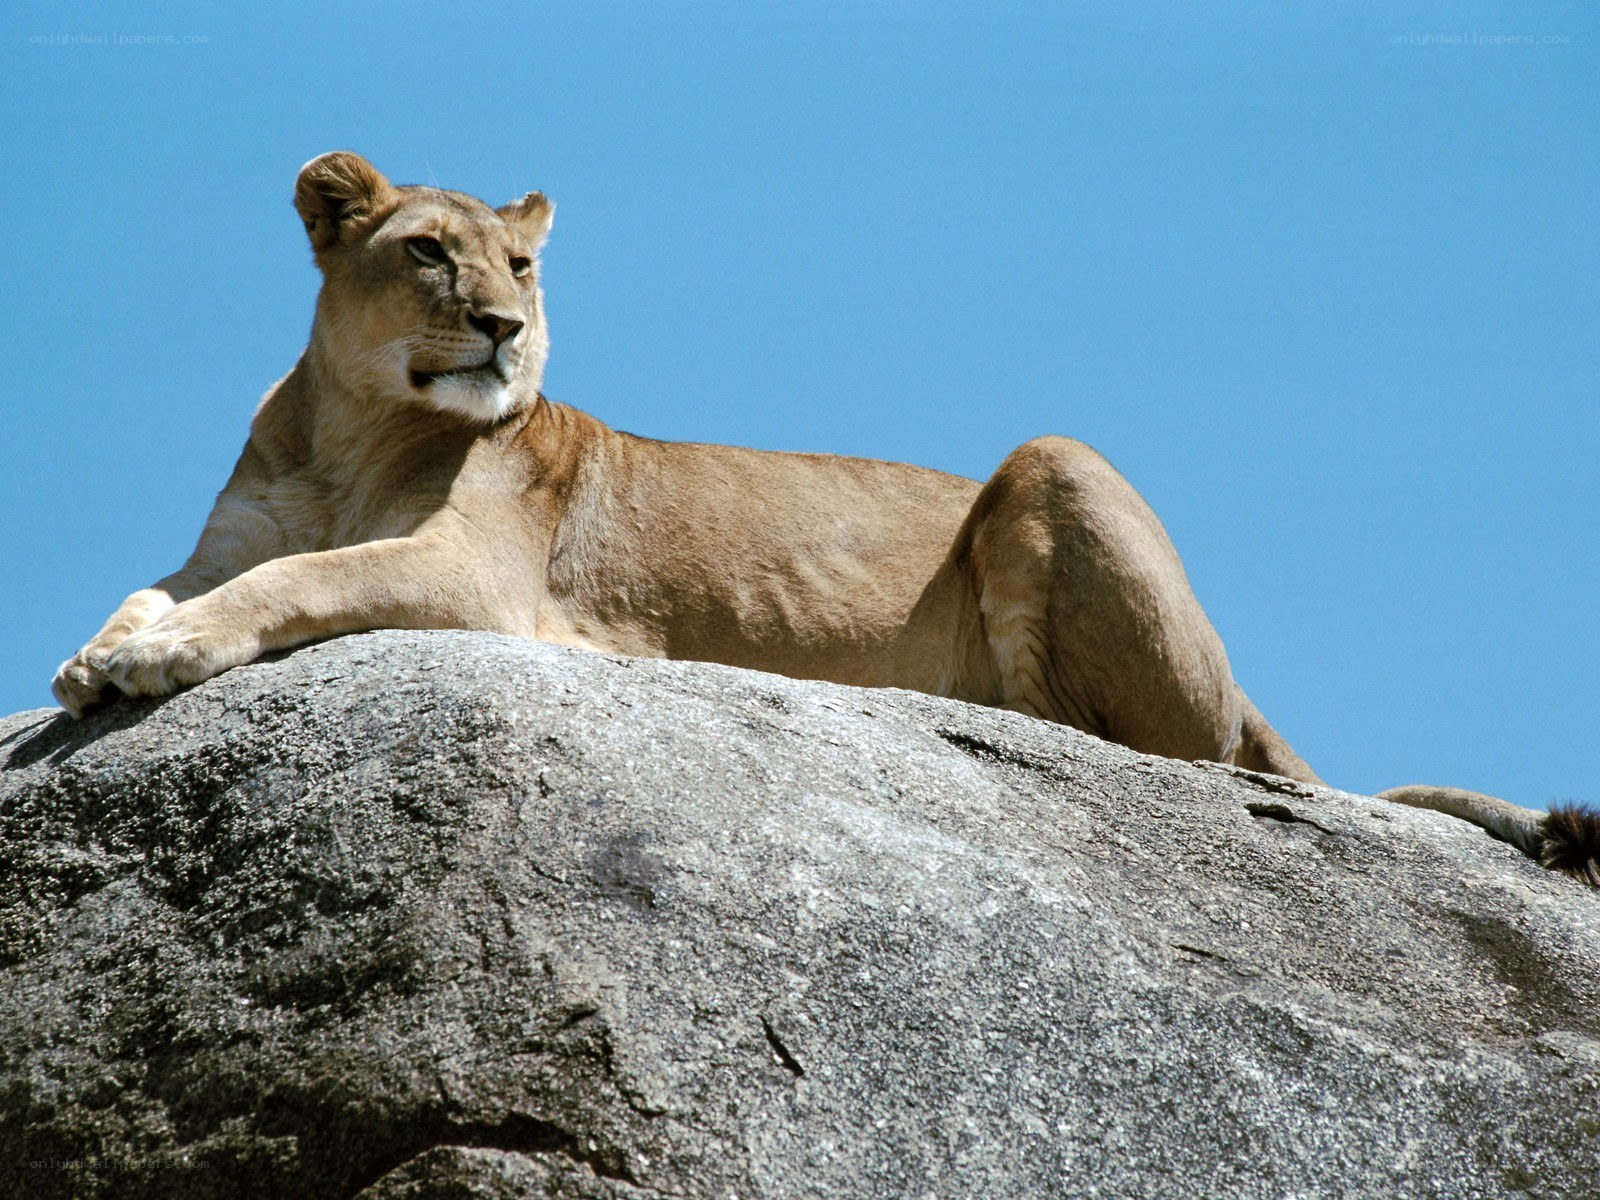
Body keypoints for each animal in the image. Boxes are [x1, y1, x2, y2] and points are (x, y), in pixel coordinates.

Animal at [52, 152, 1597, 887]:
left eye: (523, 265)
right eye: (429, 252)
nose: (503, 329)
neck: (346, 431)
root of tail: (1245, 683)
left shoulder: (474, 574)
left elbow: (295, 587)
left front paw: (153, 662)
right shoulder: (220, 540)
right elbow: (160, 584)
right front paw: (95, 658)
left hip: (1057, 462)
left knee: (1145, 749)